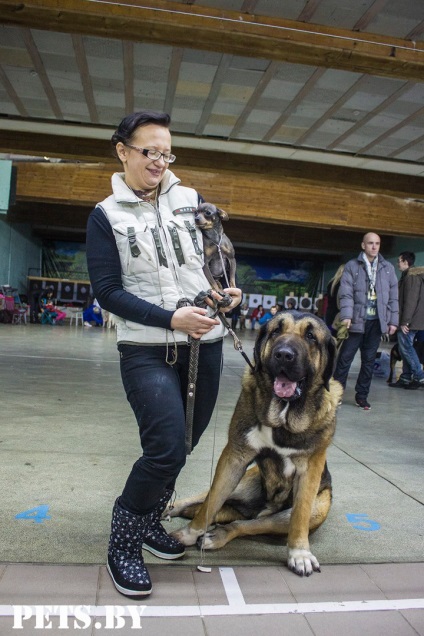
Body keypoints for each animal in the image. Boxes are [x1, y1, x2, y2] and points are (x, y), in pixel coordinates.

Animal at [170, 312, 344, 576]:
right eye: (275, 331)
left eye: (311, 336)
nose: (283, 354)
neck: (283, 414)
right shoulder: (235, 457)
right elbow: (210, 503)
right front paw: (190, 533)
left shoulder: (311, 469)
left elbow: (300, 516)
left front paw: (300, 553)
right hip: (241, 483)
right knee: (197, 502)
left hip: (309, 510)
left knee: (250, 523)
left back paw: (217, 535)